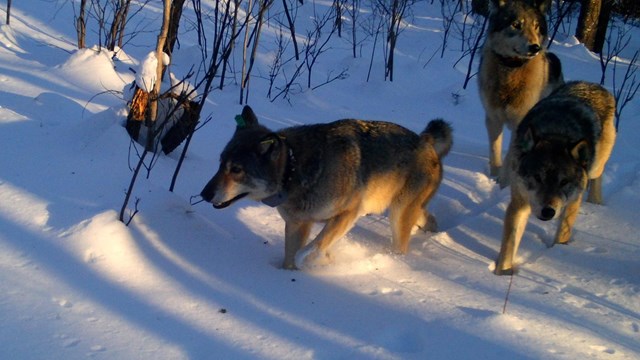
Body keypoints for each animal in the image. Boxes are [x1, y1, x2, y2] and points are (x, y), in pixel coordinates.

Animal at [201, 105, 456, 268]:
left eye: (236, 169)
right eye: (221, 163)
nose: (204, 194)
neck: (294, 170)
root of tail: (425, 140)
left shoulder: (349, 213)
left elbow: (308, 250)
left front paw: (321, 261)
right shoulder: (296, 224)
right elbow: (290, 258)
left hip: (397, 213)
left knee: (402, 245)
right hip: (401, 209)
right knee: (426, 217)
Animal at [478, 0, 564, 186]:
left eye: (536, 27)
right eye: (516, 25)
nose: (535, 47)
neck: (510, 70)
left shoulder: (520, 124)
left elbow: (509, 158)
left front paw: (502, 184)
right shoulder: (493, 119)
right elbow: (495, 152)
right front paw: (493, 178)